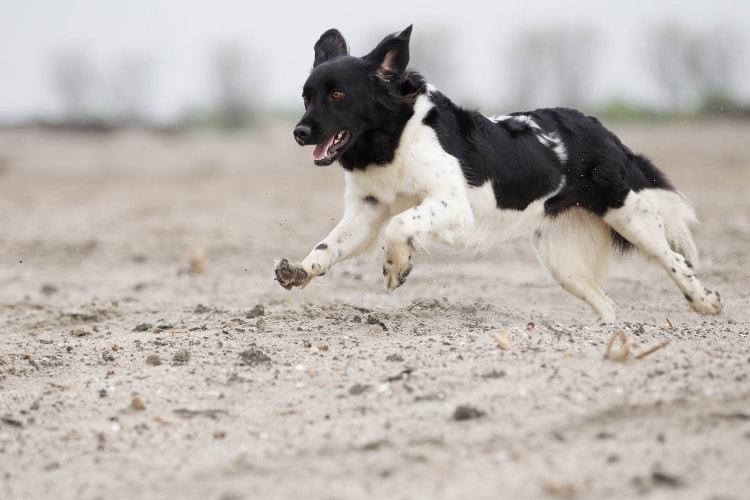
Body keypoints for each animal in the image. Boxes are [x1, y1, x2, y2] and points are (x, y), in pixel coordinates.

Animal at [274, 25, 724, 322]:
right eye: (306, 97)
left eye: (338, 94)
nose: (299, 132)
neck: (393, 139)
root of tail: (597, 126)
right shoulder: (366, 211)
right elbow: (328, 246)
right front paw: (299, 271)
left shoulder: (452, 205)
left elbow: (399, 225)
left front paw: (397, 267)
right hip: (562, 261)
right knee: (607, 302)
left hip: (628, 214)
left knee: (674, 259)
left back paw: (706, 301)